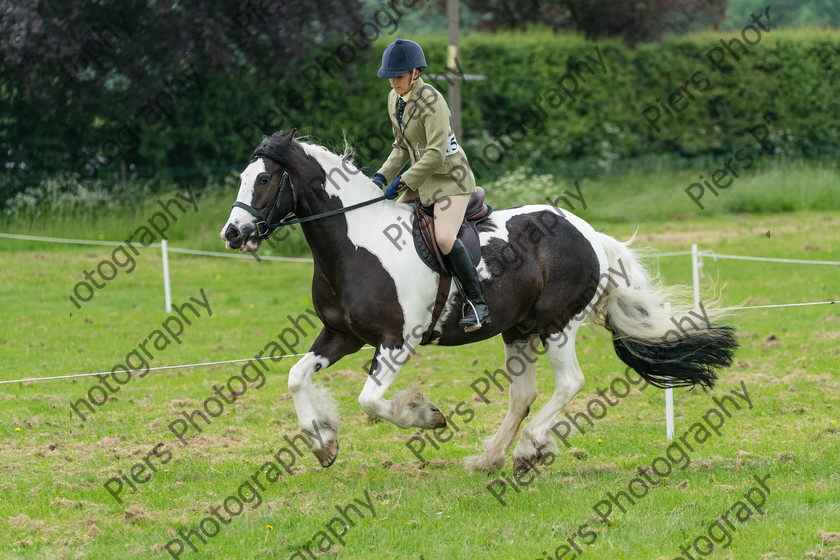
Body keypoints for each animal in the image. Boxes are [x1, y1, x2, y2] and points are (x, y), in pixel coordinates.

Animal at [220, 130, 740, 472]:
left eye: (263, 181)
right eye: (244, 177)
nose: (233, 234)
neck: (355, 245)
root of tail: (590, 234)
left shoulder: (395, 341)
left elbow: (370, 401)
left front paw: (424, 416)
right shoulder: (340, 334)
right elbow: (295, 377)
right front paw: (322, 441)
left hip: (557, 323)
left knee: (569, 382)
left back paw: (530, 448)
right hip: (518, 328)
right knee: (524, 394)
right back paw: (492, 457)